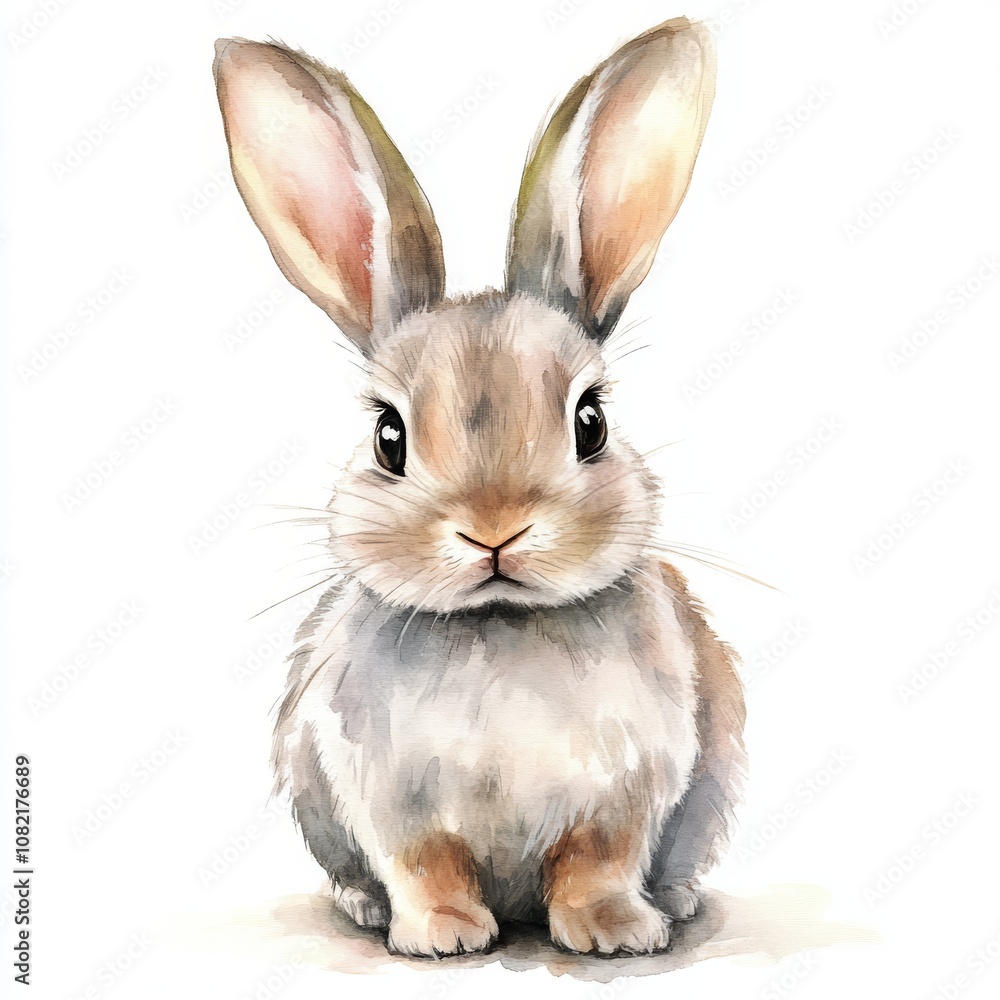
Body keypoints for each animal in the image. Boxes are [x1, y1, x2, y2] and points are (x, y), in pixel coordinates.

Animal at [214, 16, 746, 958]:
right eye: (388, 437)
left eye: (591, 422)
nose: (494, 529)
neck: (499, 628)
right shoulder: (387, 800)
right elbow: (425, 864)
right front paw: (444, 935)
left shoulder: (626, 792)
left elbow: (596, 862)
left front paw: (614, 931)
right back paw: (367, 908)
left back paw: (673, 903)